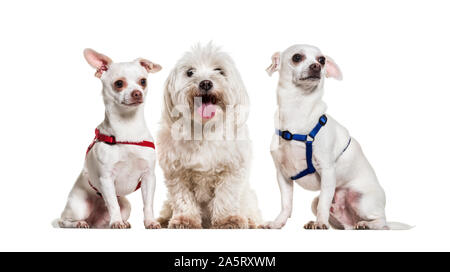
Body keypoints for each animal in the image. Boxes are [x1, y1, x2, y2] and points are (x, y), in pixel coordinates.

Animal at [56, 49, 162, 230]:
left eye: (143, 81)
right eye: (119, 83)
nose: (137, 93)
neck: (128, 128)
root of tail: (92, 220)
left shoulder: (149, 177)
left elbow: (148, 204)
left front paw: (150, 222)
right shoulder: (106, 179)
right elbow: (112, 204)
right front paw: (117, 222)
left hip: (126, 205)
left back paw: (120, 222)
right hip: (79, 206)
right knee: (63, 220)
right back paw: (80, 223)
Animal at [158, 43, 264, 228]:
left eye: (219, 70)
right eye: (190, 72)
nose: (206, 83)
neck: (204, 128)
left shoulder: (231, 169)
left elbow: (226, 196)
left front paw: (228, 219)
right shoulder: (176, 172)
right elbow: (182, 198)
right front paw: (185, 220)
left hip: (249, 199)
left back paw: (250, 222)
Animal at [264, 44, 412, 230]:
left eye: (322, 60)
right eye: (297, 57)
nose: (317, 66)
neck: (297, 110)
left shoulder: (327, 170)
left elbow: (324, 204)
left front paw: (320, 223)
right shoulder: (282, 175)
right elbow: (286, 204)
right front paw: (278, 223)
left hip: (362, 200)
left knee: (382, 222)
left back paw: (366, 224)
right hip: (318, 203)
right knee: (346, 225)